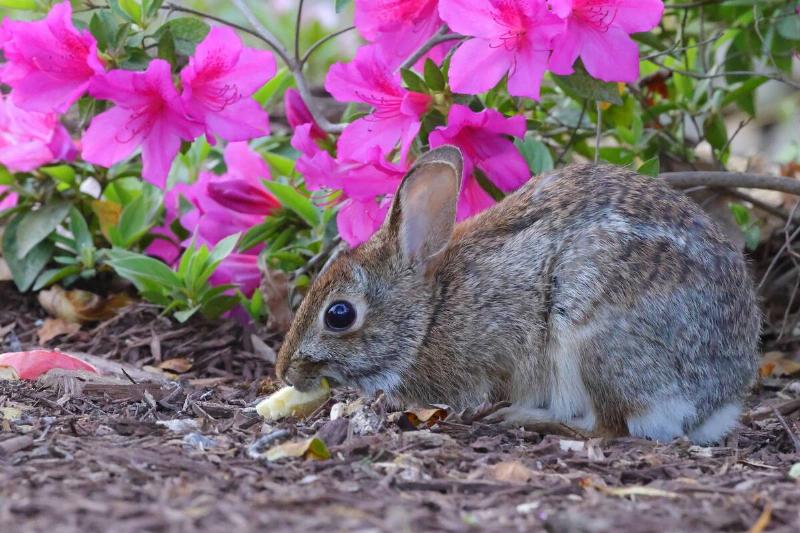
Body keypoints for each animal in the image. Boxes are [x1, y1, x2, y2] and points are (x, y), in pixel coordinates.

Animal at [276, 145, 760, 443]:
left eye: (339, 314)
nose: (285, 372)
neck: (430, 312)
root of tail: (713, 403)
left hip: (594, 341)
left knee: (609, 427)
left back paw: (524, 418)